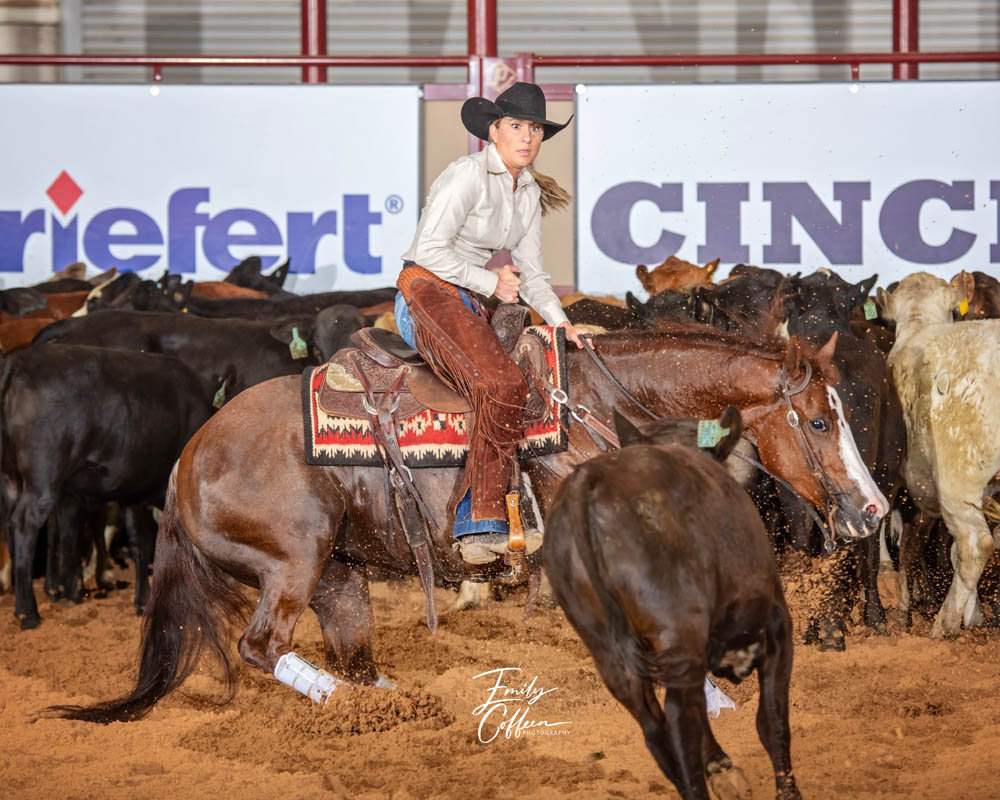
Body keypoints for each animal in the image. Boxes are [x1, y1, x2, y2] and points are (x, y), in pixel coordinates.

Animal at [53, 324, 888, 723]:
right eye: (819, 421)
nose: (873, 511)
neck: (584, 405)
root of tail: (185, 463)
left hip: (339, 579)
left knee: (352, 655)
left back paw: (405, 707)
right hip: (292, 561)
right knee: (263, 647)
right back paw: (356, 710)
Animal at [544, 408, 800, 800]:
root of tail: (589, 479)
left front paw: (722, 768)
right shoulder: (777, 626)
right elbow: (772, 722)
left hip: (611, 652)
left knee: (656, 731)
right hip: (679, 636)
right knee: (681, 722)